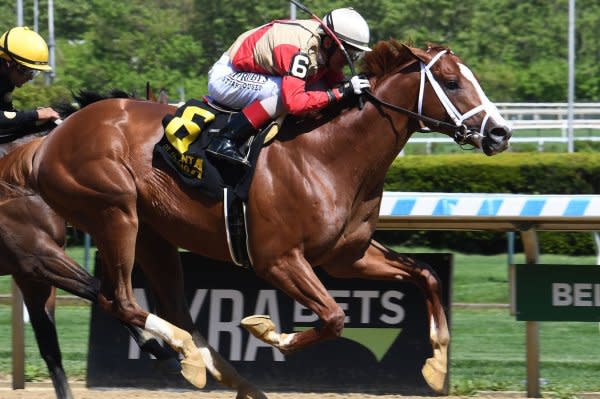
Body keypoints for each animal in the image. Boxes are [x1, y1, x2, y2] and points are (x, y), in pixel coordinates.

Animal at [4, 40, 510, 394]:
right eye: (450, 81)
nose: (501, 133)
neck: (329, 154)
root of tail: (47, 142)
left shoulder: (347, 256)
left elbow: (425, 275)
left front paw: (437, 364)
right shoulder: (278, 259)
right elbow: (333, 318)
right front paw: (266, 329)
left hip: (151, 234)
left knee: (153, 305)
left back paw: (217, 372)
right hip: (113, 213)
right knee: (120, 298)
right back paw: (187, 354)